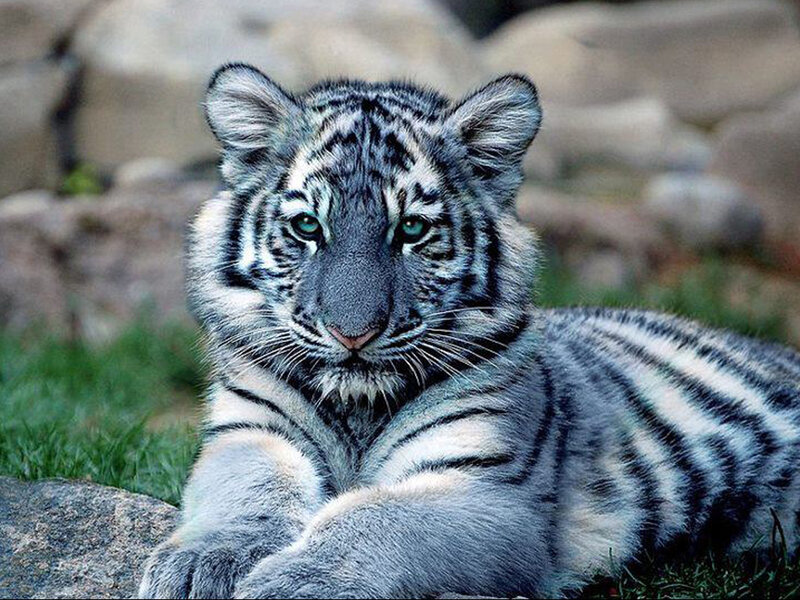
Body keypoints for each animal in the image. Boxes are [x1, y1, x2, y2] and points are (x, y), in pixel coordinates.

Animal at [138, 63, 800, 599]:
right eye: (307, 227)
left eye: (411, 229)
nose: (353, 334)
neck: (358, 408)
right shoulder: (249, 433)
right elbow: (248, 492)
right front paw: (203, 562)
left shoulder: (489, 494)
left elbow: (371, 521)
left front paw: (291, 584)